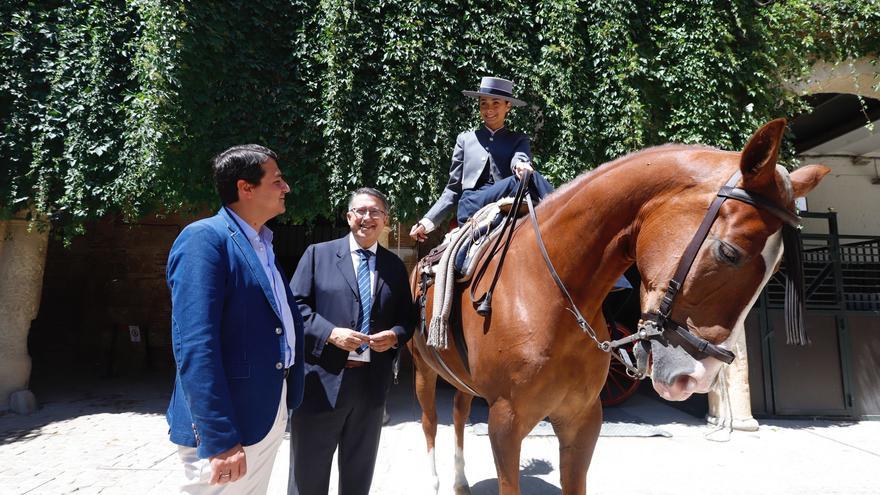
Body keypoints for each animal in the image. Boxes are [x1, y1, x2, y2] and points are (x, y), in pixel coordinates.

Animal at [410, 118, 828, 494]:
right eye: (729, 252)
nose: (695, 378)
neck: (549, 294)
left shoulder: (582, 419)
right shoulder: (506, 422)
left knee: (459, 412)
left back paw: (460, 482)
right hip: (424, 371)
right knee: (431, 421)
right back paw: (433, 481)